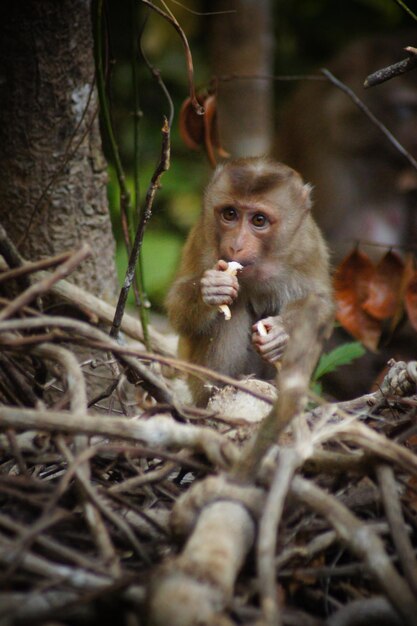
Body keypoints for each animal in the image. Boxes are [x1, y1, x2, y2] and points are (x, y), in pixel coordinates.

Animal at [165, 155, 332, 404]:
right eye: (230, 214)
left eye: (259, 220)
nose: (236, 245)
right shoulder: (202, 236)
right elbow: (178, 309)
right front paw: (211, 289)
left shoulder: (308, 245)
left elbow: (320, 303)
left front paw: (281, 332)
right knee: (234, 307)